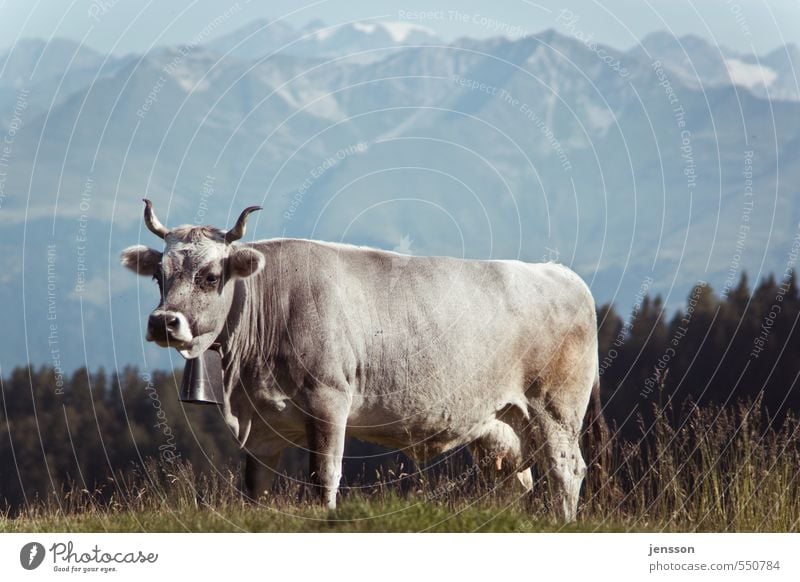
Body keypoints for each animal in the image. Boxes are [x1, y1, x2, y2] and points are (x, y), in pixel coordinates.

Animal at [120, 202, 608, 524]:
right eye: (159, 275)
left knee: (566, 470)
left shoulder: (329, 400)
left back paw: (564, 524)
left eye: (210, 276)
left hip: (556, 409)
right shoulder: (260, 422)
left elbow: (325, 475)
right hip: (499, 427)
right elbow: (255, 487)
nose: (164, 322)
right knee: (515, 483)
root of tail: (561, 274)